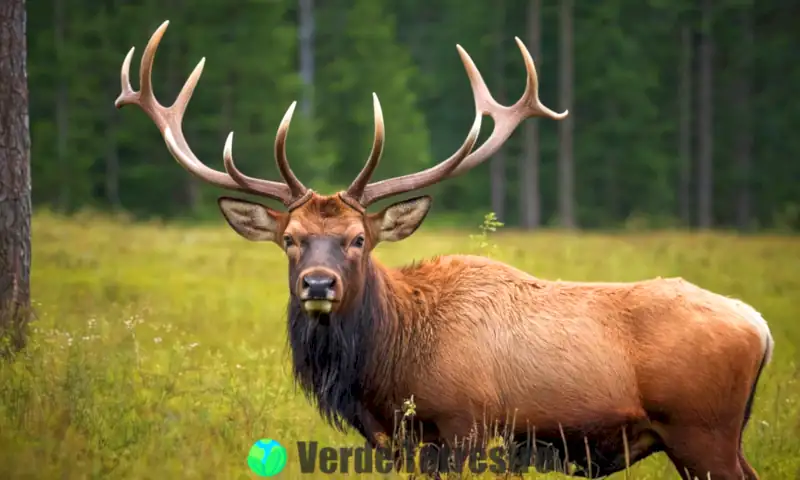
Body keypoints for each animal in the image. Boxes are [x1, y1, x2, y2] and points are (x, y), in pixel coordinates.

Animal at [119, 20, 776, 478]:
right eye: (290, 240)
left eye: (358, 239)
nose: (318, 284)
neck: (386, 369)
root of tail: (761, 327)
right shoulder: (397, 444)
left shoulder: (467, 428)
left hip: (700, 430)